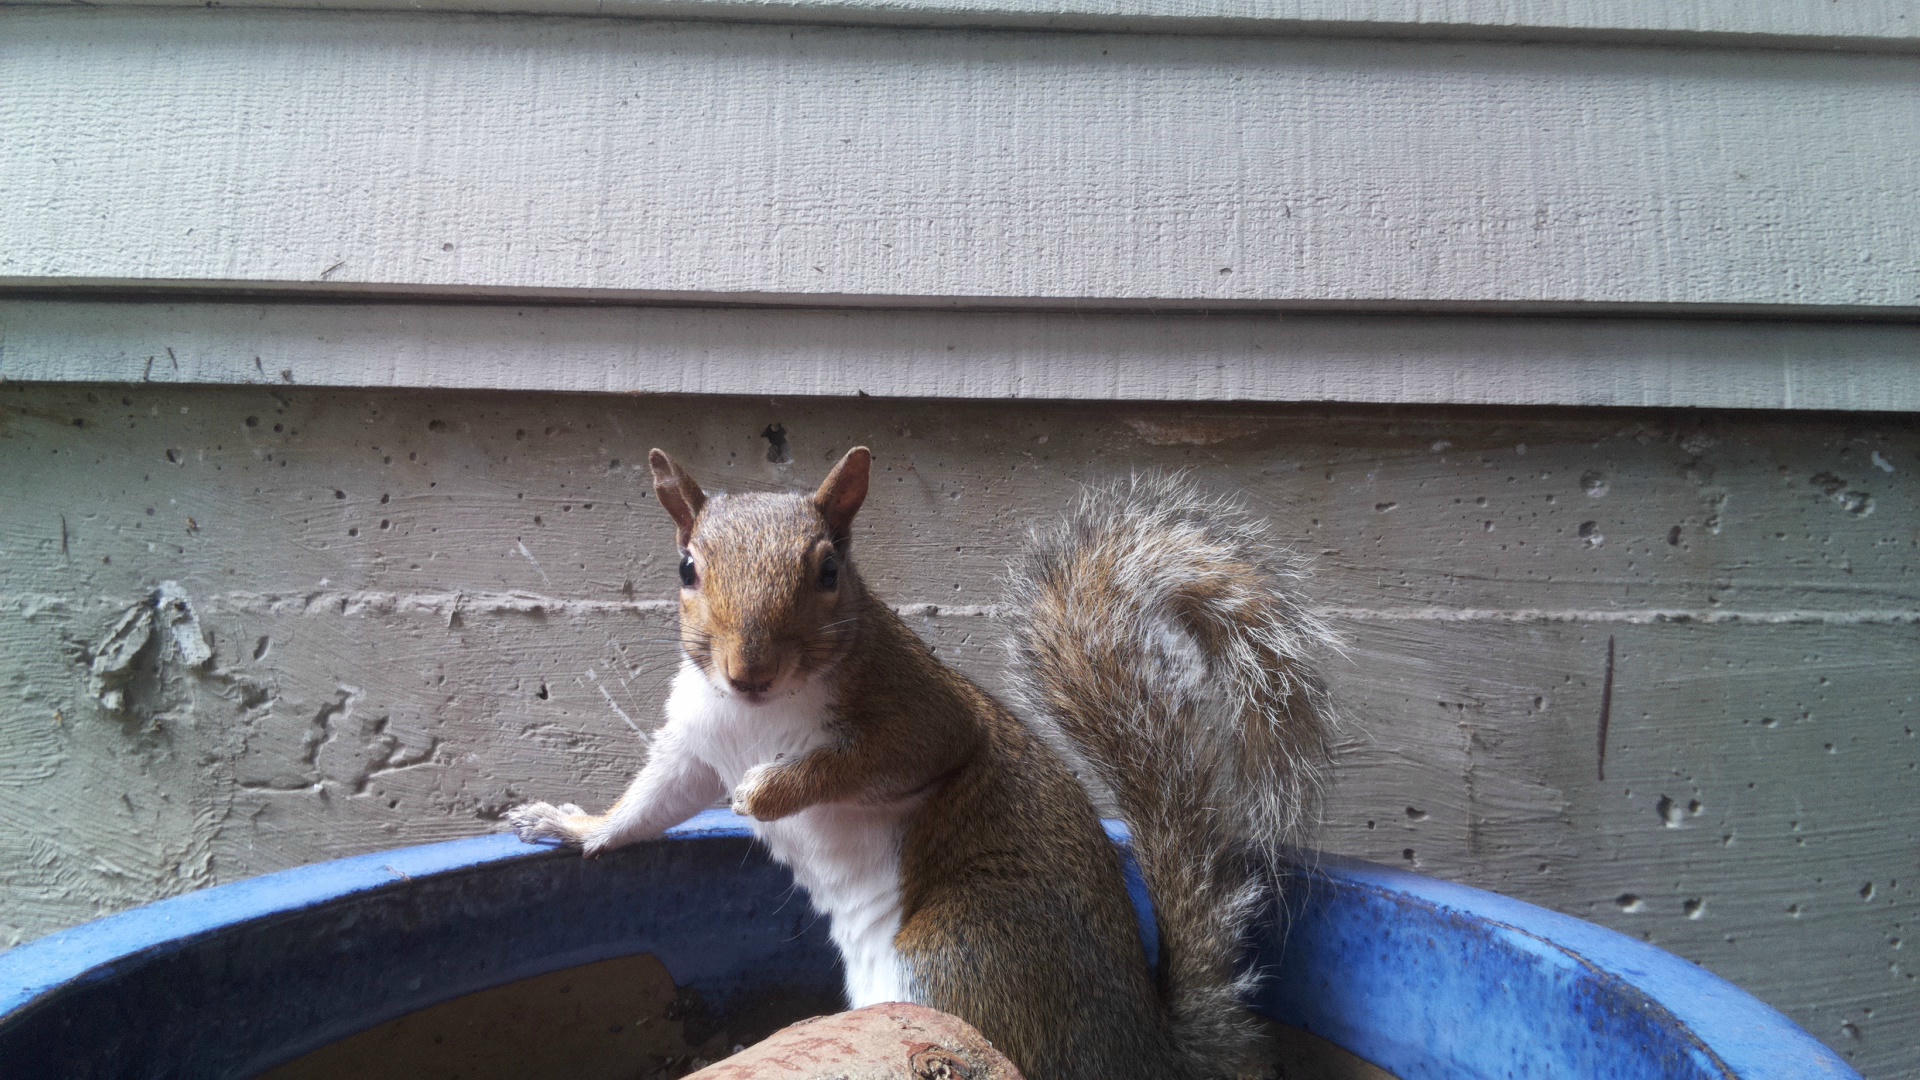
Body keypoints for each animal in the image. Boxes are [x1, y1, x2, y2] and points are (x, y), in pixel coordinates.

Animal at [507, 447, 1337, 1080]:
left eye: (828, 571)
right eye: (685, 568)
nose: (750, 671)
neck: (756, 716)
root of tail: (1143, 1053)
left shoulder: (927, 717)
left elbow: (862, 762)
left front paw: (768, 794)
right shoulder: (696, 742)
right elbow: (653, 804)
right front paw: (572, 825)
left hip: (965, 951)